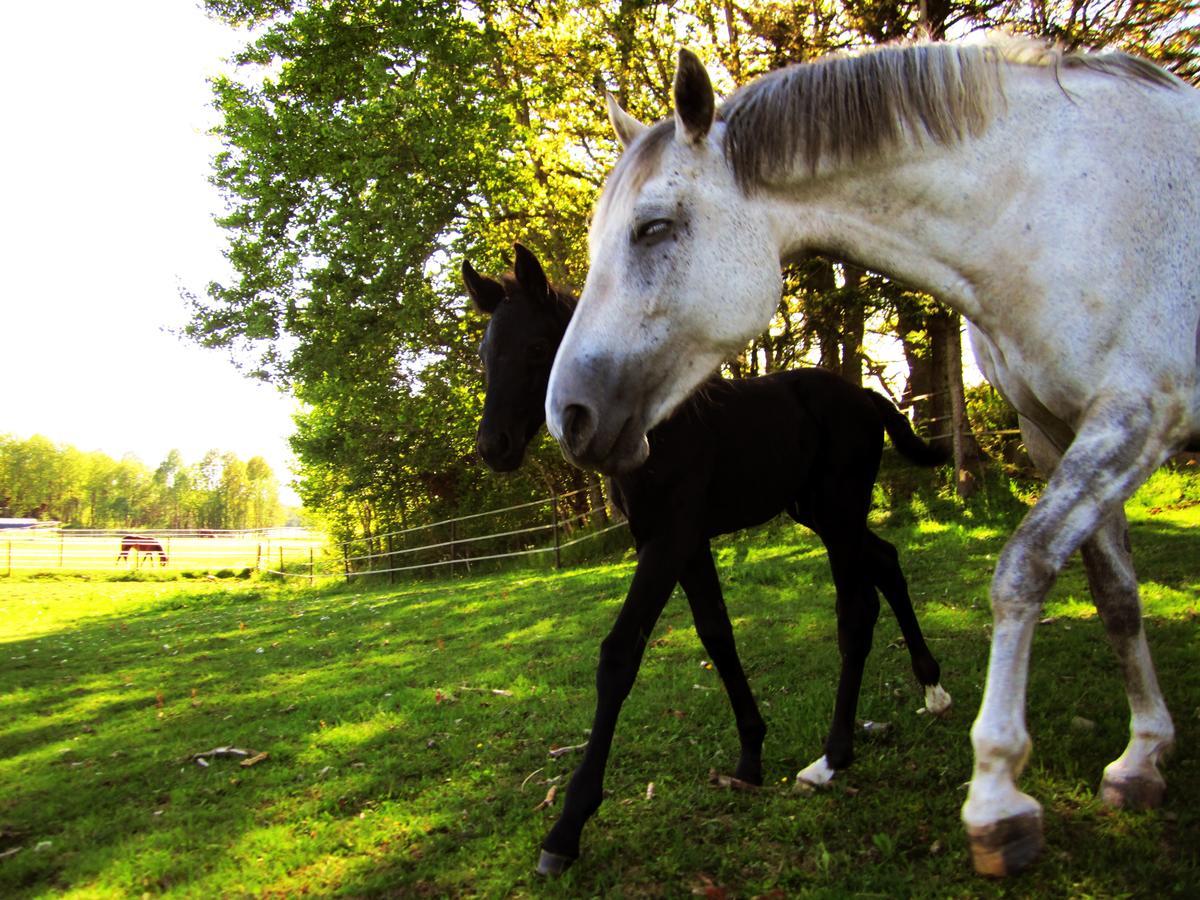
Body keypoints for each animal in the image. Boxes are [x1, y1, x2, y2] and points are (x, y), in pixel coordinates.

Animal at [463, 244, 950, 873]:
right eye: (484, 354)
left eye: (534, 348)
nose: (493, 447)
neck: (652, 431)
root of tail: (865, 396)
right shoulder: (683, 543)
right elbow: (717, 635)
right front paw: (750, 756)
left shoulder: (667, 541)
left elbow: (619, 656)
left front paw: (567, 827)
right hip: (817, 512)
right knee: (886, 561)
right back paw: (931, 689)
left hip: (840, 512)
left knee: (857, 610)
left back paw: (833, 756)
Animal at [547, 38, 1200, 878]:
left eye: (654, 227)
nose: (568, 414)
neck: (1055, 206)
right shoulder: (1055, 428)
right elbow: (1116, 597)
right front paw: (1141, 756)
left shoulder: (1138, 412)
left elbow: (1021, 570)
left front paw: (998, 796)